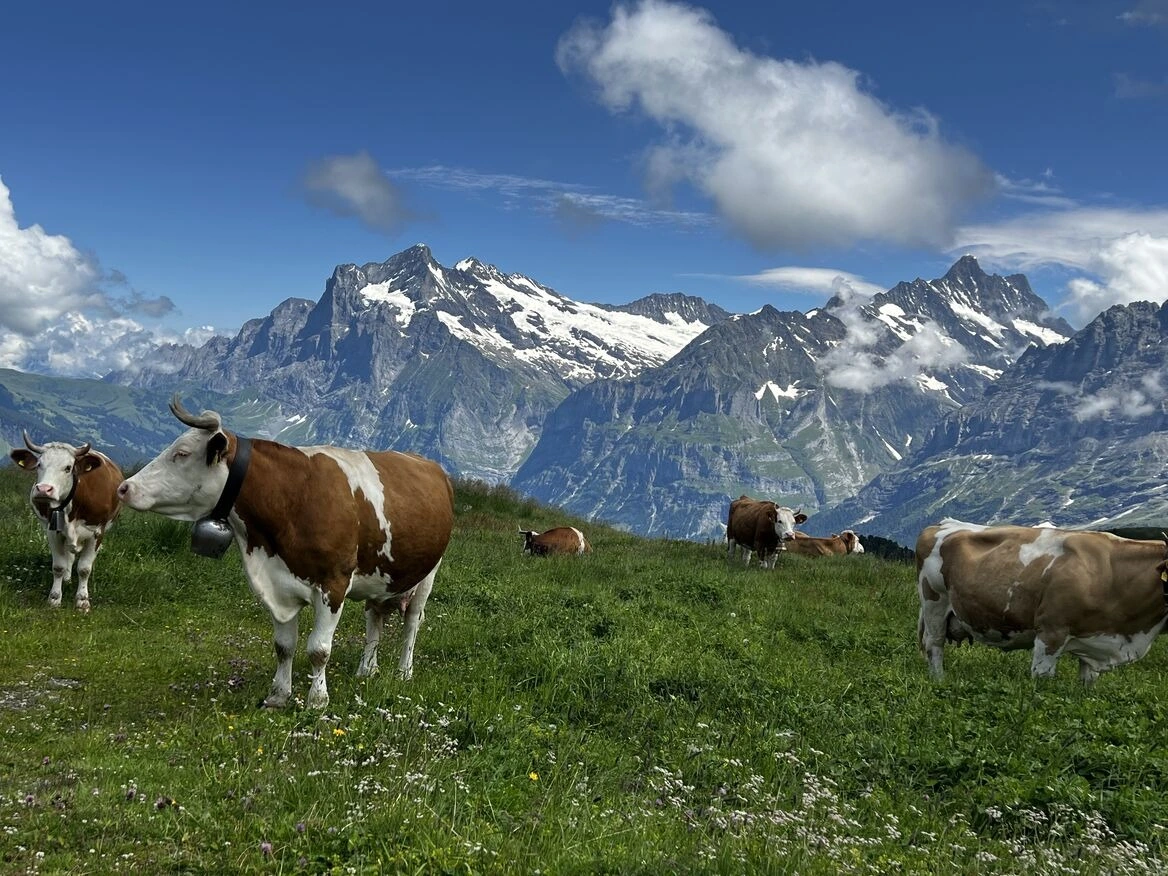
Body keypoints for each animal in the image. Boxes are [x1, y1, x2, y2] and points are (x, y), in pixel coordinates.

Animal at [10, 432, 123, 612]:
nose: (43, 490)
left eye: (68, 468)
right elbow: (58, 566)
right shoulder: (52, 531)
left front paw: (82, 601)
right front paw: (55, 598)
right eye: (39, 465)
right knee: (68, 555)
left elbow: (84, 568)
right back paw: (67, 578)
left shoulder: (97, 532)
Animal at [116, 396, 455, 709]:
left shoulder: (333, 583)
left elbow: (319, 649)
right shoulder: (276, 584)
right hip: (381, 574)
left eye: (182, 453)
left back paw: (403, 672)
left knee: (411, 623)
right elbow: (284, 646)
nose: (124, 487)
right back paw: (366, 670)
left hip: (429, 572)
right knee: (375, 618)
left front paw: (317, 700)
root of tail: (428, 463)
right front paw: (278, 695)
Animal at [916, 518, 1168, 684]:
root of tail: (942, 523)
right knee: (934, 645)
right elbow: (1042, 680)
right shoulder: (1051, 632)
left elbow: (1087, 683)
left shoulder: (1095, 639)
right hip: (934, 604)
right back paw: (939, 681)